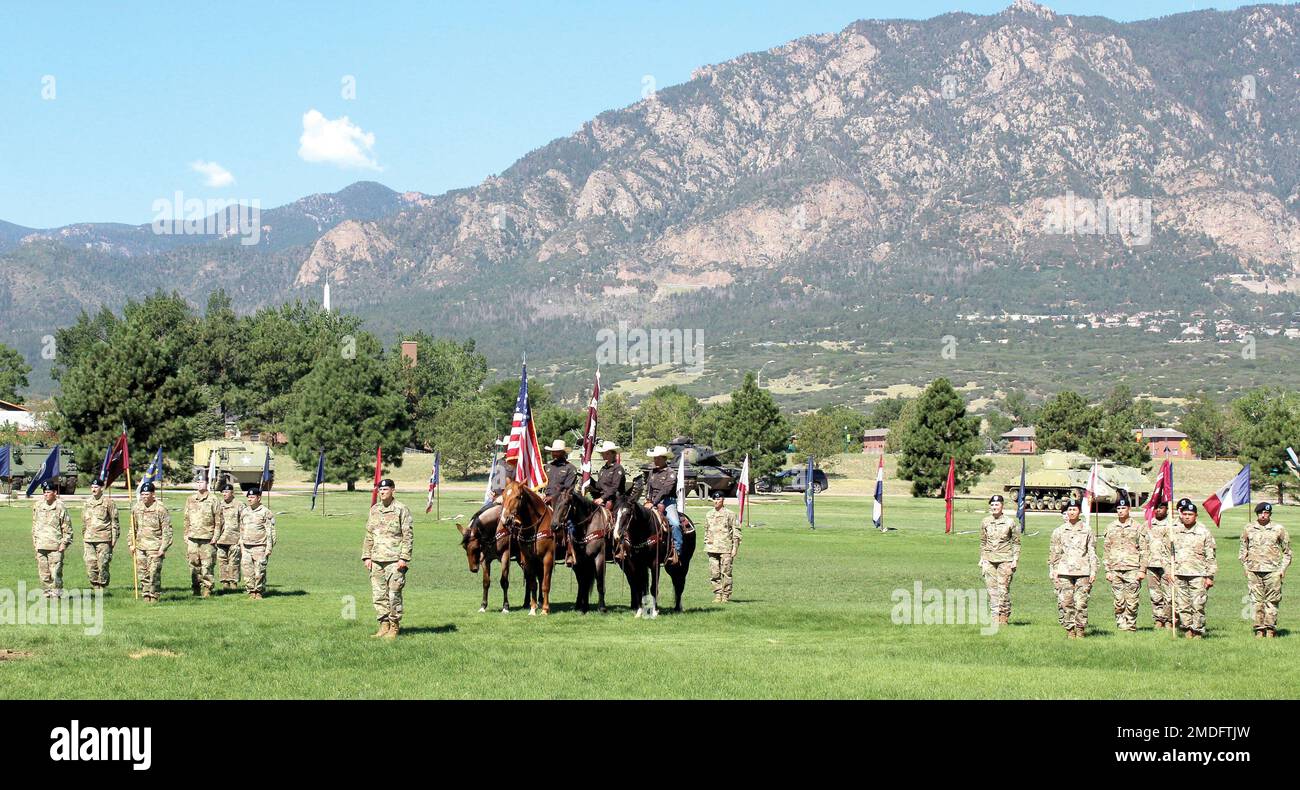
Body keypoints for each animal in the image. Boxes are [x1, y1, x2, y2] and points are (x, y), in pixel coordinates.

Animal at [499, 475, 556, 618]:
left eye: (518, 496)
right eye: (503, 495)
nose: (505, 519)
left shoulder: (548, 558)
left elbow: (545, 584)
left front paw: (545, 609)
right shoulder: (529, 559)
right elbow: (533, 584)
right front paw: (533, 609)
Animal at [611, 475, 696, 618]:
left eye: (627, 513)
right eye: (614, 513)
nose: (617, 535)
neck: (643, 531)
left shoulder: (654, 563)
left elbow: (653, 587)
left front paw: (655, 611)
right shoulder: (635, 563)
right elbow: (638, 586)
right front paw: (639, 611)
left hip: (684, 562)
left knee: (679, 583)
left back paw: (678, 608)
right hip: (669, 565)